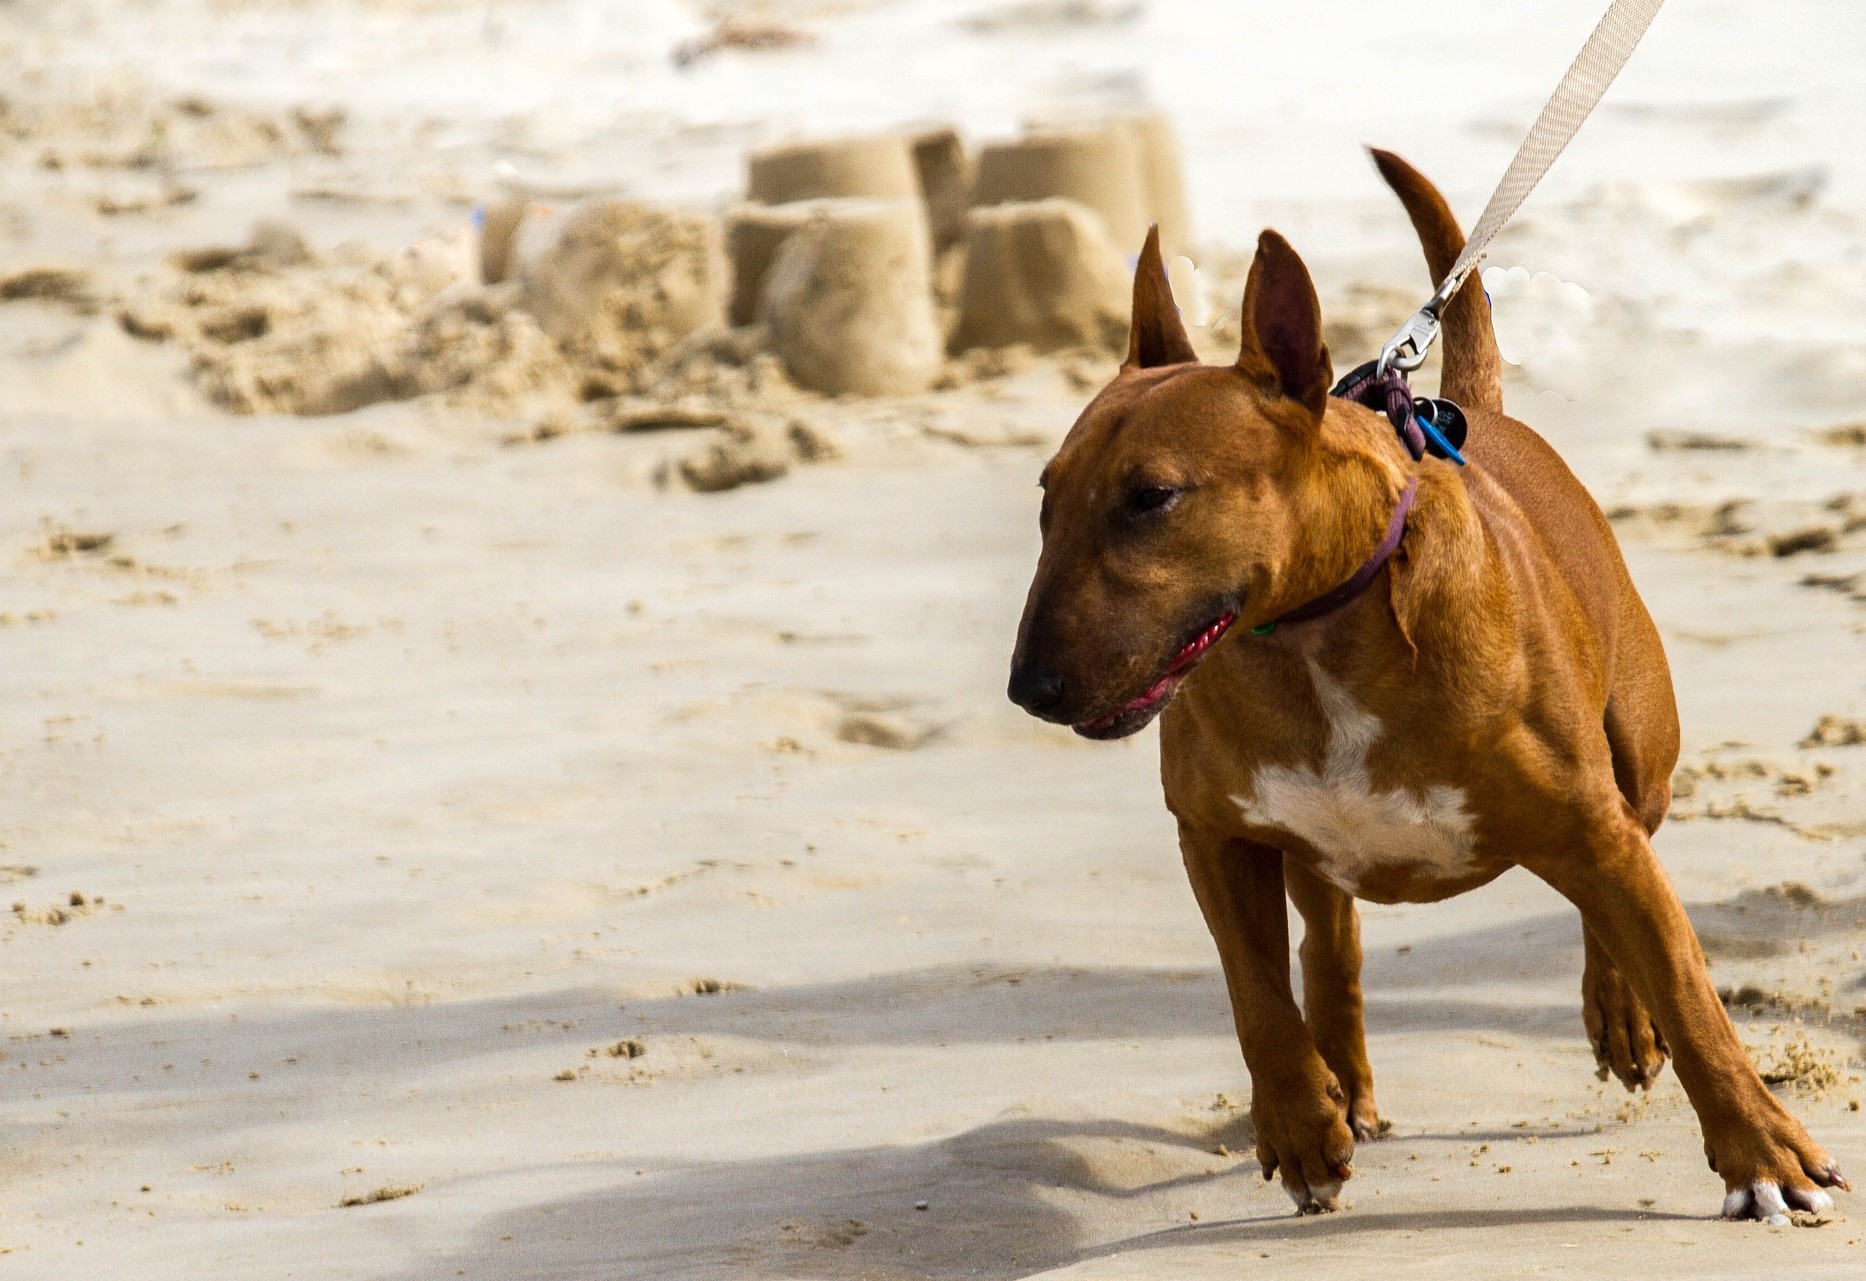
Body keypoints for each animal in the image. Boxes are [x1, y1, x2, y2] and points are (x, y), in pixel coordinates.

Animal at [1015, 148, 1843, 1224]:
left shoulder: (1588, 823)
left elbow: (1686, 986)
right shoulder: (1214, 832)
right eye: (1046, 498)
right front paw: (1302, 1126)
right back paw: (1345, 1089)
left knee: (1628, 873)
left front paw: (1766, 1158)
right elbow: (1255, 990)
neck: (1312, 638)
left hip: (1637, 761)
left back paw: (1619, 1018)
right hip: (1315, 850)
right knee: (1330, 941)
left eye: (1151, 497)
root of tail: (1475, 411)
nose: (1030, 687)